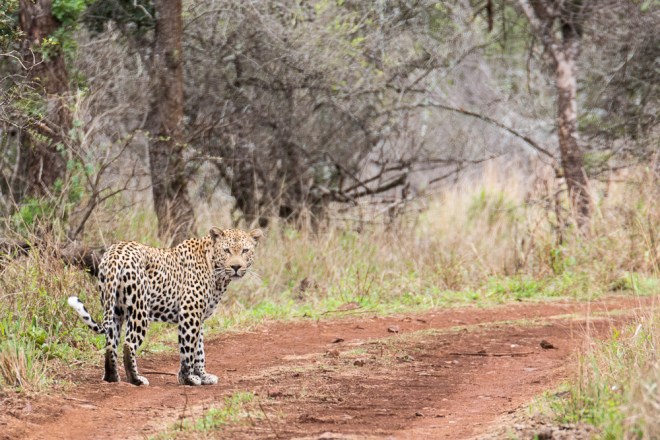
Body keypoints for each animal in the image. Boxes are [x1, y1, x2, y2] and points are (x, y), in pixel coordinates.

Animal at [68, 227, 262, 386]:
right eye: (226, 250)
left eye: (245, 250)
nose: (236, 266)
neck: (217, 273)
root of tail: (116, 253)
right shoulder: (190, 312)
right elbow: (188, 348)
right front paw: (187, 378)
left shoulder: (199, 317)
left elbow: (200, 349)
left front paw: (203, 376)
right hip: (139, 309)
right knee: (128, 344)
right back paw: (136, 379)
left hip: (115, 309)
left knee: (110, 343)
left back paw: (112, 377)